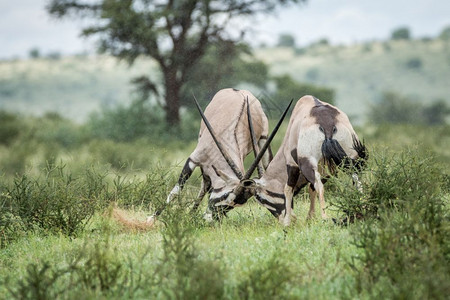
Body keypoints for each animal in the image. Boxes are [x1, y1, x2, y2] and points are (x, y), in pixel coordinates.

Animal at [150, 88, 292, 221]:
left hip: (263, 138)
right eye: (225, 195)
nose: (212, 219)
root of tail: (239, 90)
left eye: (232, 206)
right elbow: (178, 189)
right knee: (205, 185)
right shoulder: (193, 159)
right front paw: (152, 218)